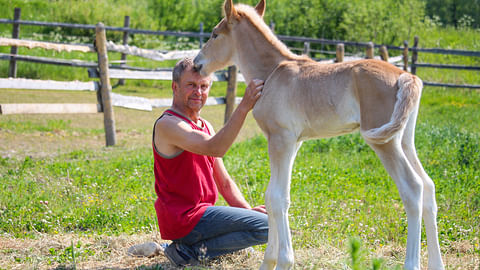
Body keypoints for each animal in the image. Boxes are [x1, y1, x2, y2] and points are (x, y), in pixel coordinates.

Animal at [193, 1, 444, 268]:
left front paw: (284, 261)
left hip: (385, 142)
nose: (197, 63)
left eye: (215, 34)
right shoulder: (293, 142)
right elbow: (273, 196)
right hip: (404, 140)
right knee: (428, 187)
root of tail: (407, 76)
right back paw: (437, 263)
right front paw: (269, 261)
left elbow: (278, 197)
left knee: (413, 189)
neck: (272, 73)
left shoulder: (280, 139)